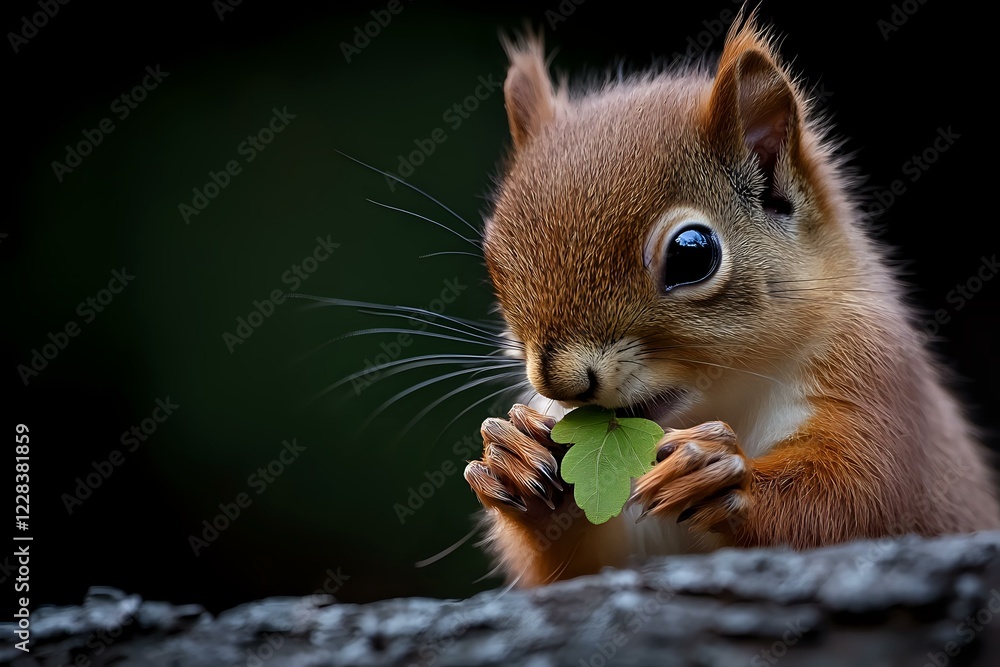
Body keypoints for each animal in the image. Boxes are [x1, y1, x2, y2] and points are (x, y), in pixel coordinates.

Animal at [461, 16, 1000, 588]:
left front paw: (723, 477)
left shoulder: (873, 384)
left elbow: (857, 499)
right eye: (492, 256)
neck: (726, 397)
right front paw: (512, 458)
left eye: (691, 254)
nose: (559, 382)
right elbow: (580, 570)